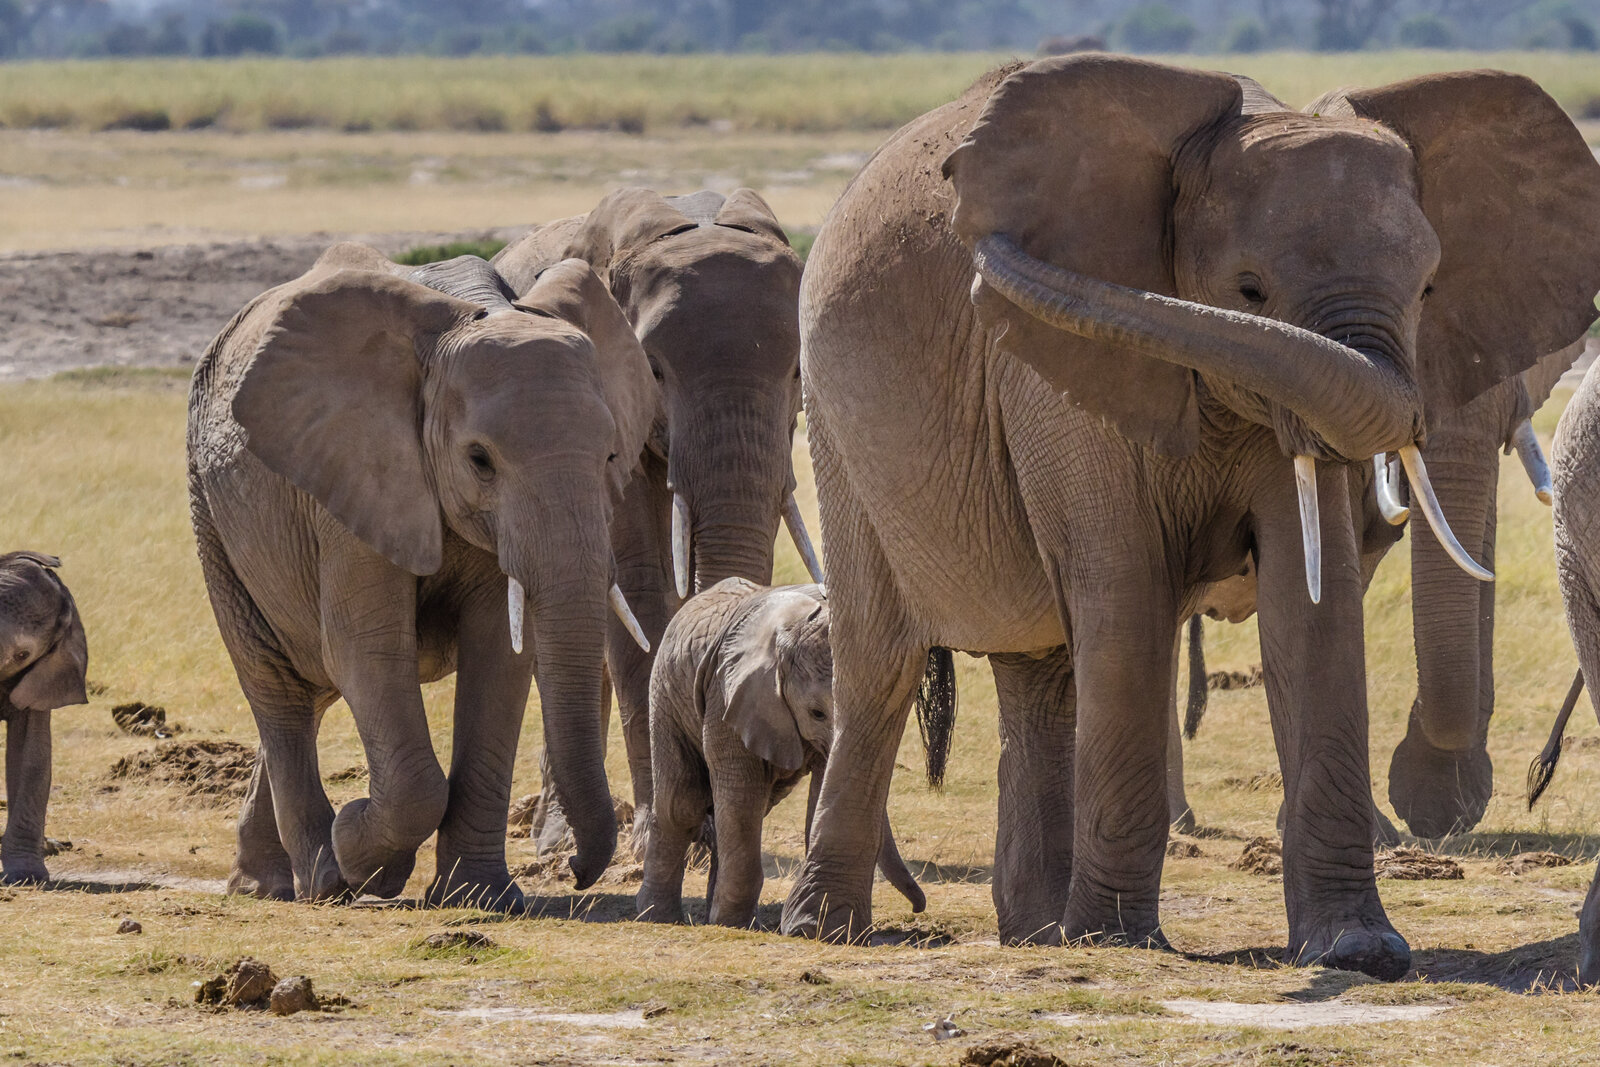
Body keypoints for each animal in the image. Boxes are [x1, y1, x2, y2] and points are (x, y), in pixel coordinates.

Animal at [188, 245, 657, 909]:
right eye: (480, 460)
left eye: (612, 456)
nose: (573, 870)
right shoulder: (356, 473)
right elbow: (369, 649)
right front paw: (364, 858)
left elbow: (502, 655)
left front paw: (480, 898)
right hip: (212, 515)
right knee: (278, 686)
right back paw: (318, 880)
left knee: (312, 688)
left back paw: (265, 882)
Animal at [636, 577, 924, 926]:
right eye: (816, 713)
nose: (917, 907)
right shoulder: (727, 696)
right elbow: (740, 795)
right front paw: (732, 924)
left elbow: (816, 795)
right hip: (666, 692)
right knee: (683, 804)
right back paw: (657, 917)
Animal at [780, 53, 1600, 981]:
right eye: (1249, 289)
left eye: (1429, 287)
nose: (984, 255)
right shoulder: (1057, 369)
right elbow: (1126, 589)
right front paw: (1118, 941)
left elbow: (1310, 608)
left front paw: (1358, 949)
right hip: (837, 424)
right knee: (882, 663)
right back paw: (829, 928)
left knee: (1042, 669)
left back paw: (1037, 931)